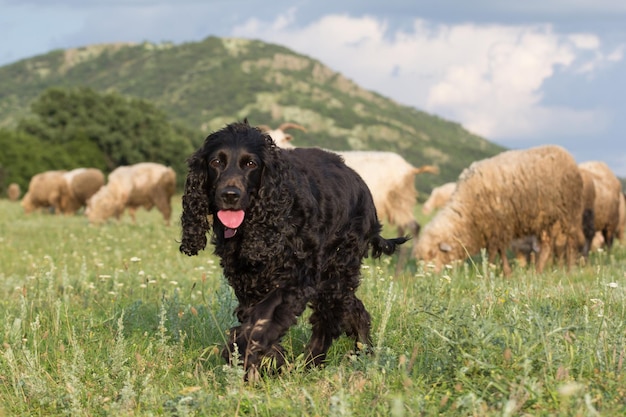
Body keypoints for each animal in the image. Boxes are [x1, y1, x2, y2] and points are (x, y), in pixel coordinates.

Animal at [180, 121, 404, 376]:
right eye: (216, 162)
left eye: (251, 164)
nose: (230, 195)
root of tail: (362, 184)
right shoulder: (247, 281)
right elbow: (255, 318)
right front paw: (268, 359)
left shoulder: (295, 279)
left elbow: (261, 320)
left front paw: (243, 354)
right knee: (353, 308)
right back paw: (364, 351)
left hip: (336, 270)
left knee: (328, 319)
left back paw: (313, 363)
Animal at [412, 145, 584, 274]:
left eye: (433, 254)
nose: (427, 277)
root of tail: (566, 154)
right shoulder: (492, 228)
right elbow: (498, 251)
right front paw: (504, 272)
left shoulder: (499, 225)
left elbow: (496, 251)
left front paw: (492, 272)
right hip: (546, 218)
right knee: (547, 245)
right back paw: (537, 271)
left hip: (570, 212)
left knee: (571, 241)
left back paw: (570, 270)